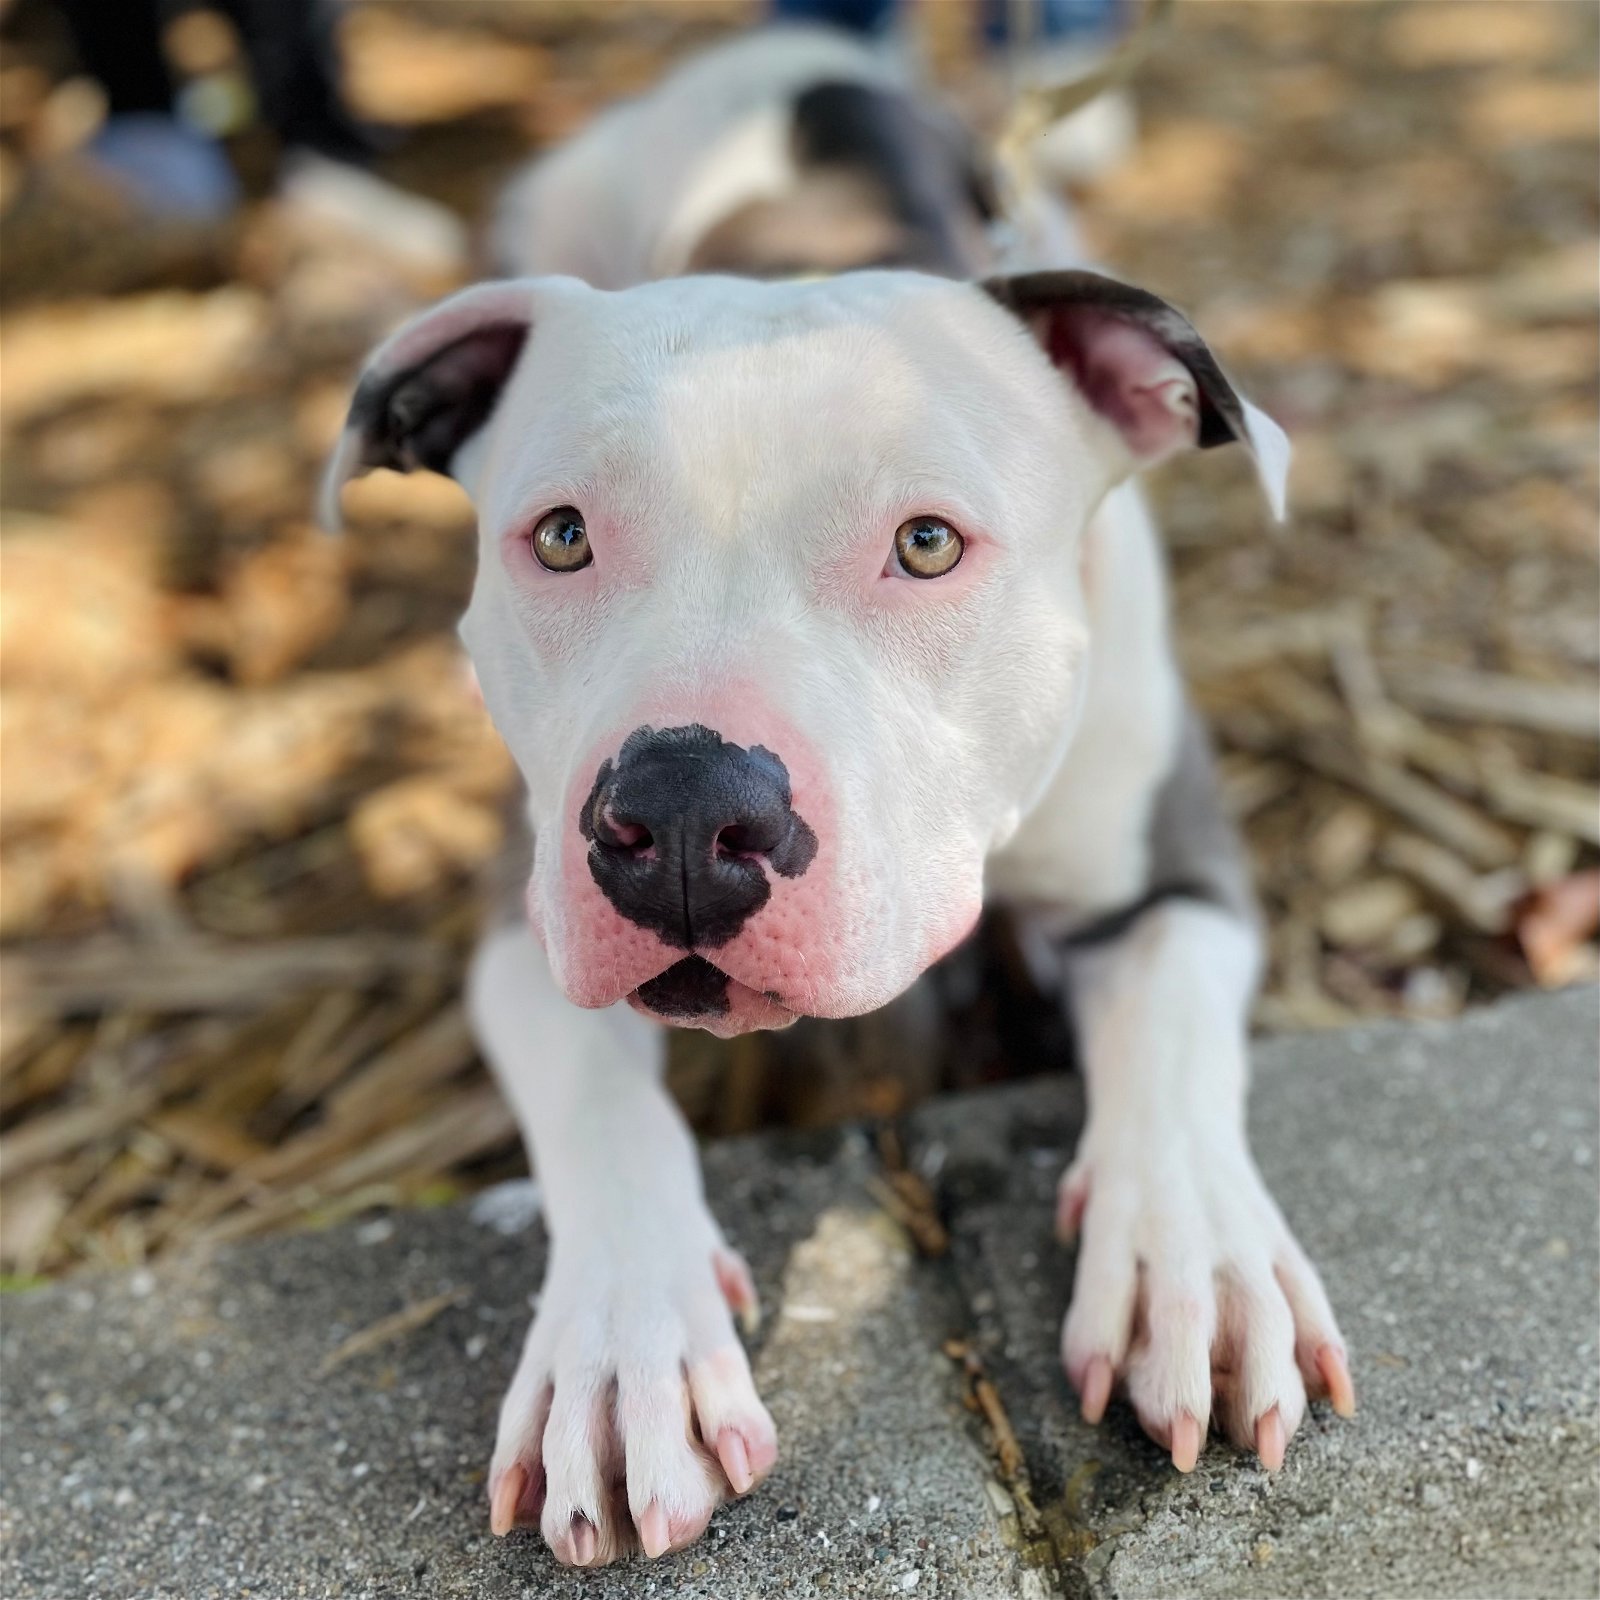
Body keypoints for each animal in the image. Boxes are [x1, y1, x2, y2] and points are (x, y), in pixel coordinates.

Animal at [321, 25, 1350, 1568]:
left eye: (926, 545)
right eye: (559, 536)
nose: (686, 812)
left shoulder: (1177, 873)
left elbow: (1170, 1024)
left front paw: (1200, 1266)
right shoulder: (523, 929)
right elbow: (601, 1105)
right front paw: (624, 1359)